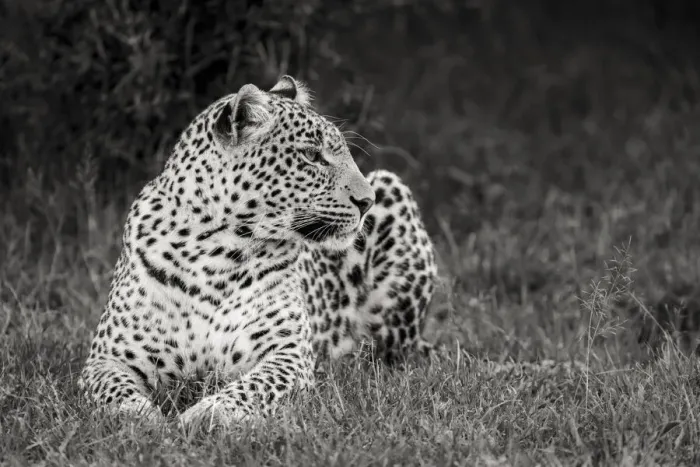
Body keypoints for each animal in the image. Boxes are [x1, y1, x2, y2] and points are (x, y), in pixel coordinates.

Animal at [78, 76, 437, 428]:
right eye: (311, 155)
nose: (367, 201)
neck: (211, 252)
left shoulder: (287, 355)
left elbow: (254, 386)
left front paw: (208, 414)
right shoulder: (106, 357)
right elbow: (113, 391)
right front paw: (140, 420)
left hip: (393, 196)